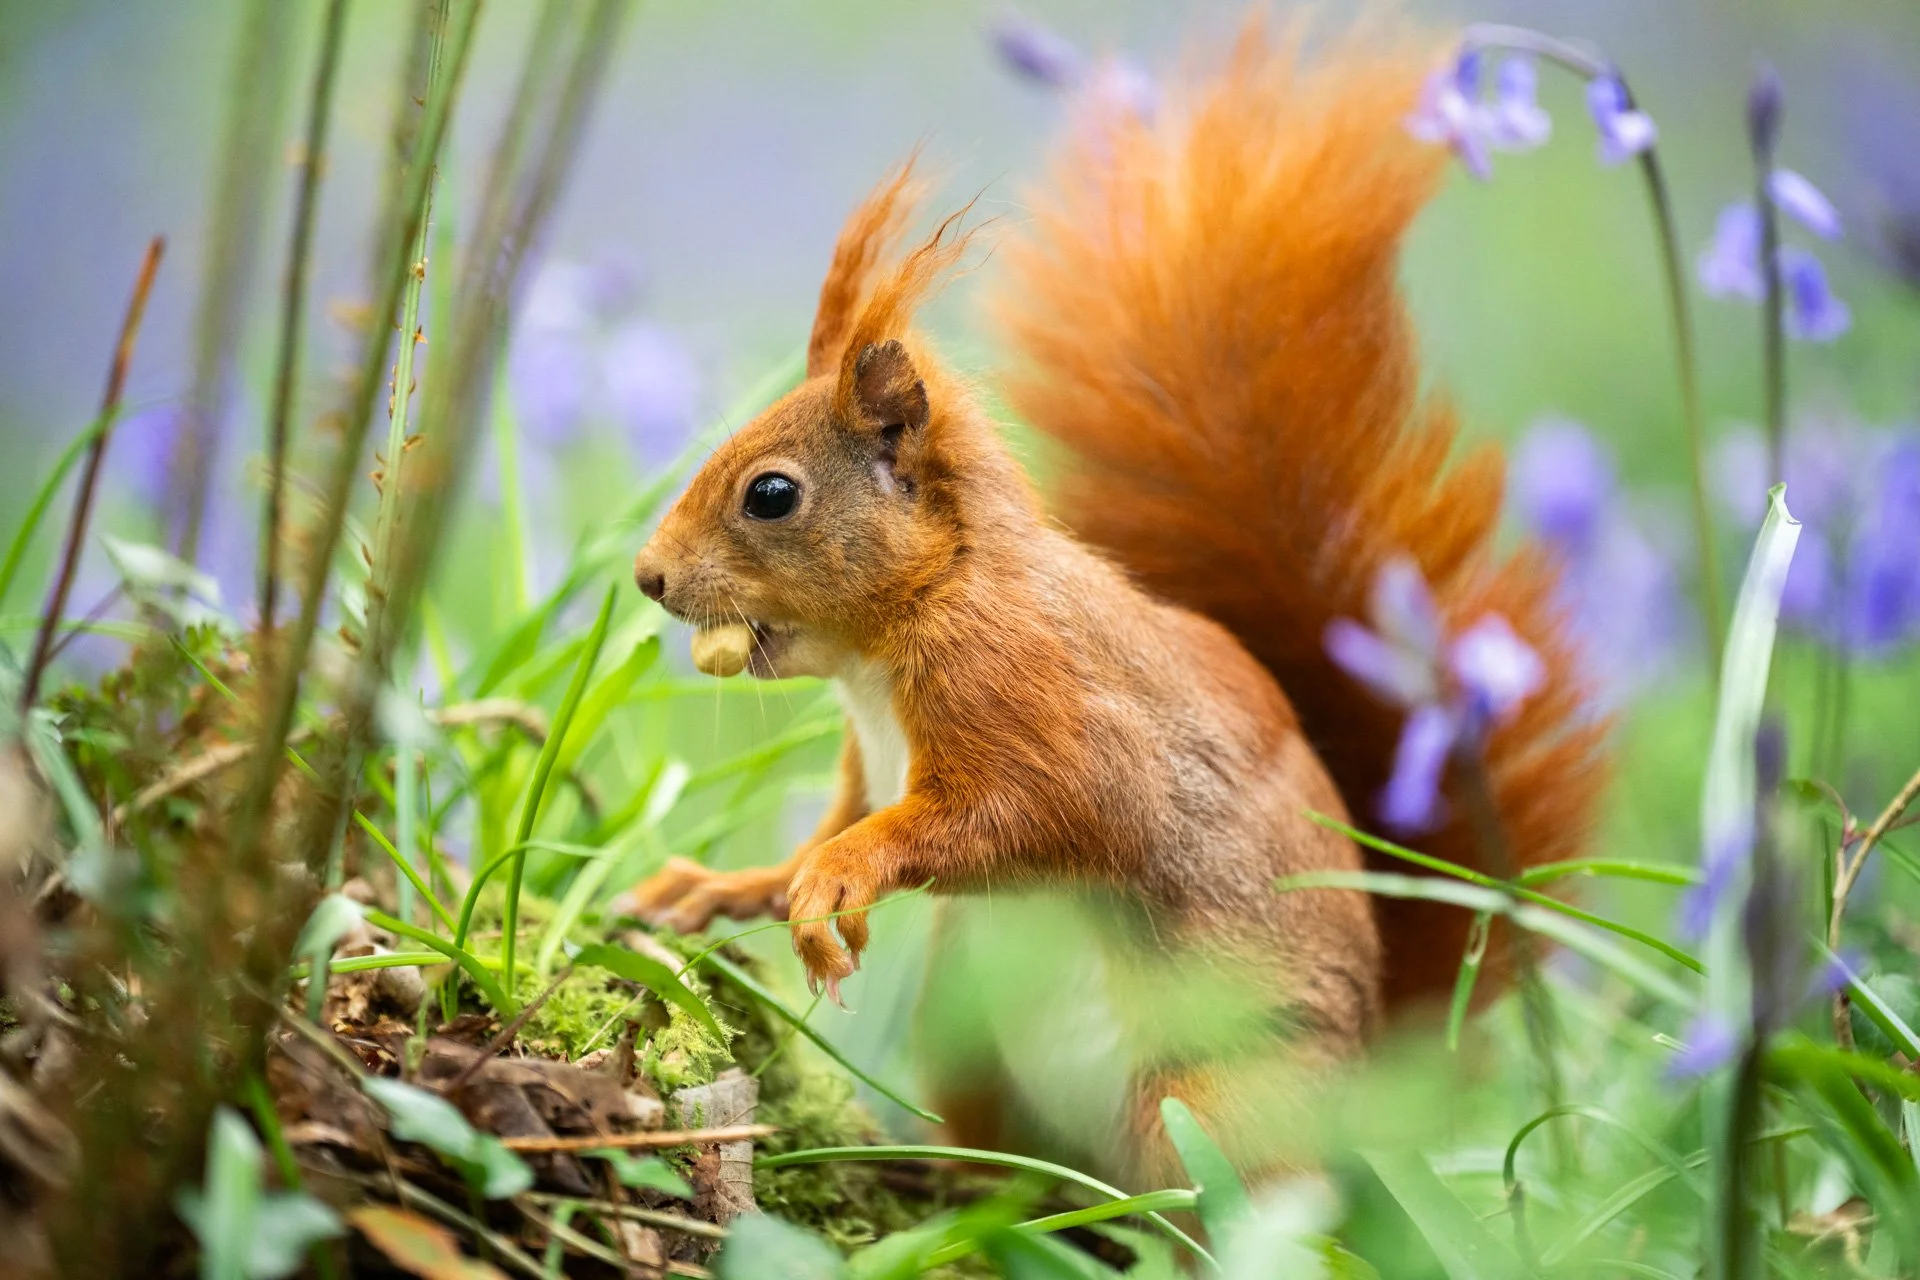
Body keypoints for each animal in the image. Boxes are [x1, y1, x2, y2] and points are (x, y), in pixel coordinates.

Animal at [627, 17, 1607, 1178]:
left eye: (771, 493)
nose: (646, 576)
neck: (896, 633)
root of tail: (1363, 1091)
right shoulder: (876, 759)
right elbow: (842, 822)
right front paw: (726, 886)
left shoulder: (1029, 696)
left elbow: (1018, 813)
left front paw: (833, 879)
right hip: (970, 1040)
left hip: (1214, 1101)